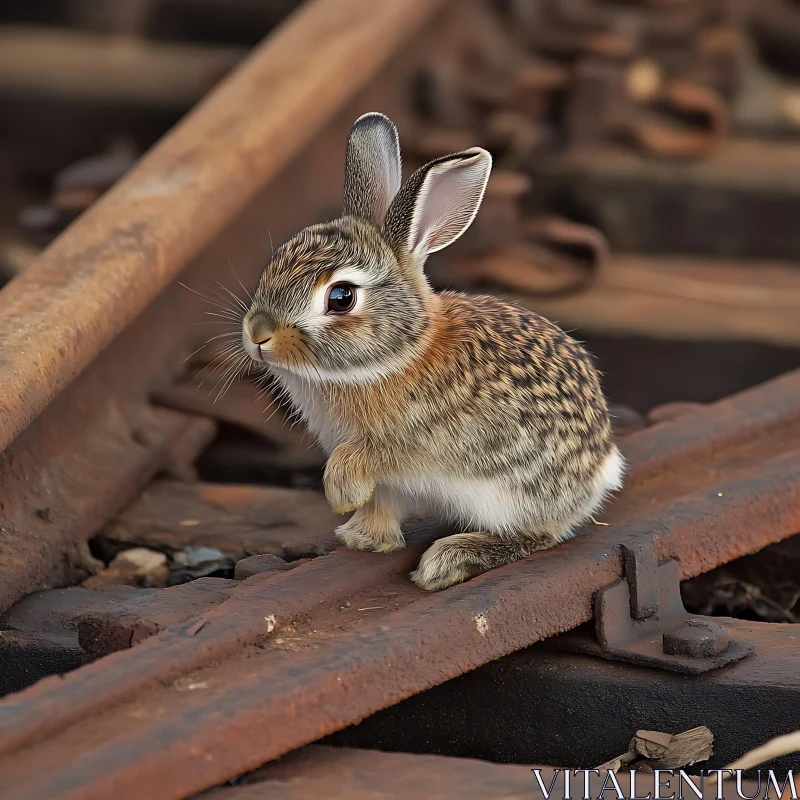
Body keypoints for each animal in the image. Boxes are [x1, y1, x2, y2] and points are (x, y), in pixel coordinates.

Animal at [242, 112, 624, 592]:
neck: (397, 356)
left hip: (508, 493)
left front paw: (341, 495)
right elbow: (380, 508)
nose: (258, 334)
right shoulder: (389, 486)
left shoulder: (411, 444)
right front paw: (361, 539)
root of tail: (603, 469)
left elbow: (367, 459)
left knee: (538, 535)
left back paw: (448, 560)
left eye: (341, 297)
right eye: (275, 260)